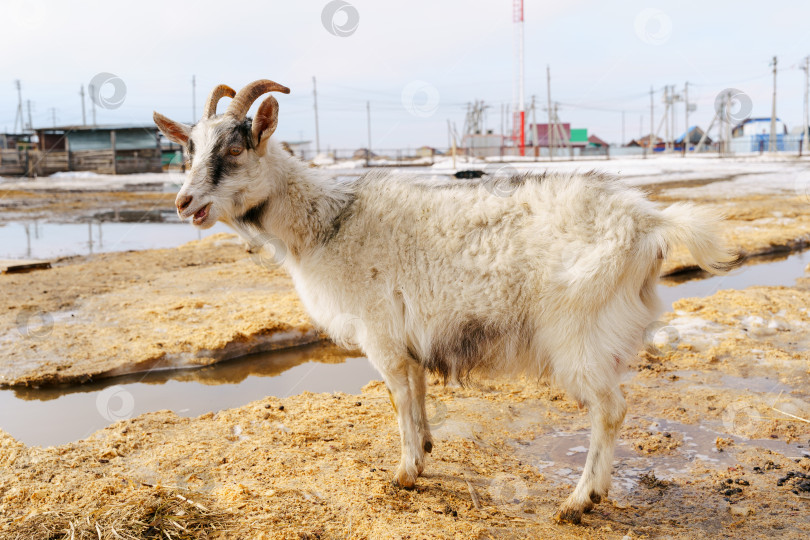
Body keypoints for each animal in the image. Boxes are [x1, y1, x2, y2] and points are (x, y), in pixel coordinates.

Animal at [155, 80, 740, 524]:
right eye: (189, 150)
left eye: (235, 149)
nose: (184, 203)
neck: (326, 223)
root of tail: (649, 222)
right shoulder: (408, 335)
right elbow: (416, 391)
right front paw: (428, 449)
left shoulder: (381, 334)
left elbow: (397, 397)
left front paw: (405, 473)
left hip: (578, 332)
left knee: (610, 409)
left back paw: (579, 501)